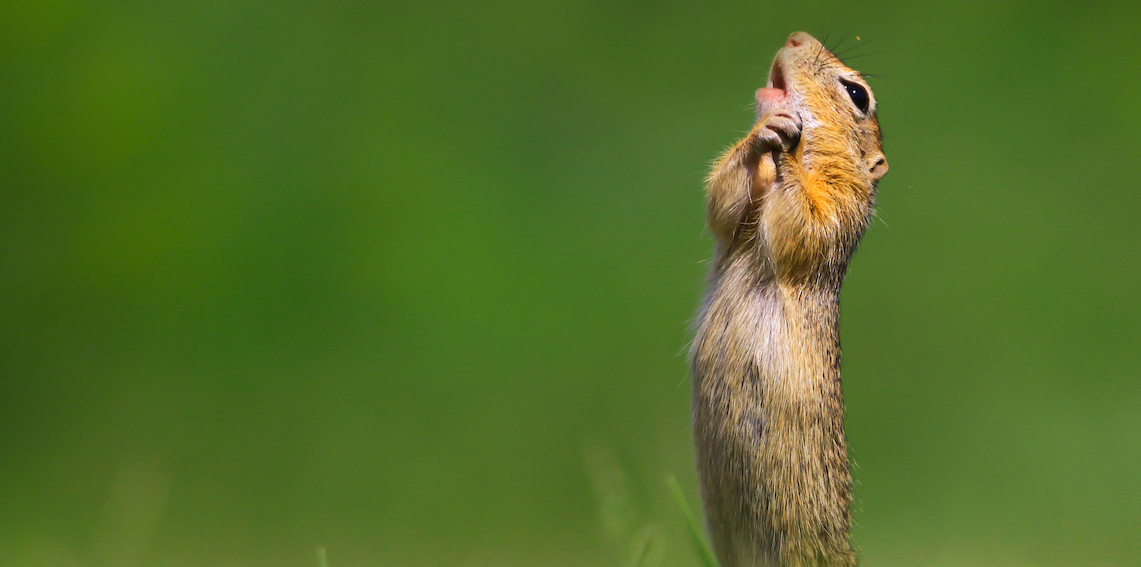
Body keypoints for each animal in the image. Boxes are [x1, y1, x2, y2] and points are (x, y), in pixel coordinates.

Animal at [689, 32, 885, 565]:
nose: (796, 36)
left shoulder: (840, 205)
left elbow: (803, 225)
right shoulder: (736, 221)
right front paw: (764, 135)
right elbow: (723, 202)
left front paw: (788, 152)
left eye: (858, 94)